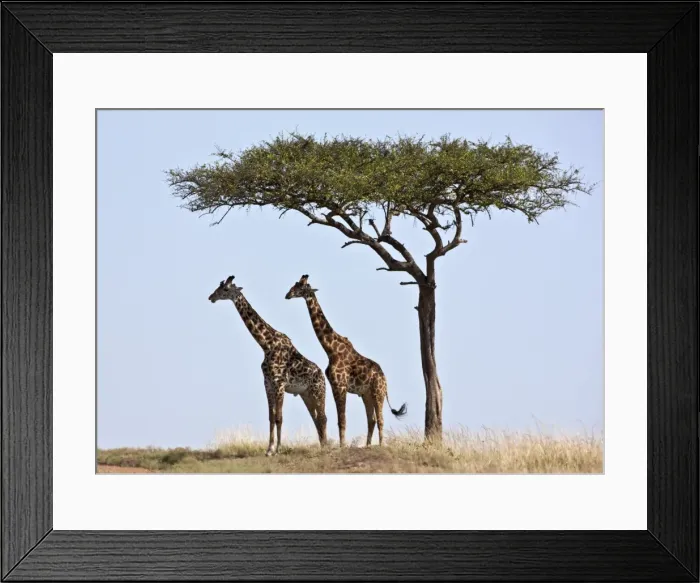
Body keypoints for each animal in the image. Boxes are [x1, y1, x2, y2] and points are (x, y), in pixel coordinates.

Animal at [208, 275, 327, 456]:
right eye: (218, 287)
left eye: (226, 289)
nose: (211, 297)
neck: (266, 344)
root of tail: (322, 375)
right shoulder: (268, 383)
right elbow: (271, 417)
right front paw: (269, 449)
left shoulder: (279, 384)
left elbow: (279, 417)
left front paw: (277, 449)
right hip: (306, 394)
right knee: (316, 418)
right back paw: (322, 445)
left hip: (319, 392)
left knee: (323, 417)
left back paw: (327, 446)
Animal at [285, 274, 407, 447]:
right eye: (294, 284)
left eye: (300, 286)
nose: (287, 295)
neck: (330, 349)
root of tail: (385, 379)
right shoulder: (335, 386)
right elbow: (340, 419)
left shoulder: (340, 386)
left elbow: (342, 420)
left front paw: (342, 446)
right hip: (366, 394)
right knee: (372, 419)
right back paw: (367, 445)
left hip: (378, 392)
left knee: (380, 419)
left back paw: (381, 445)